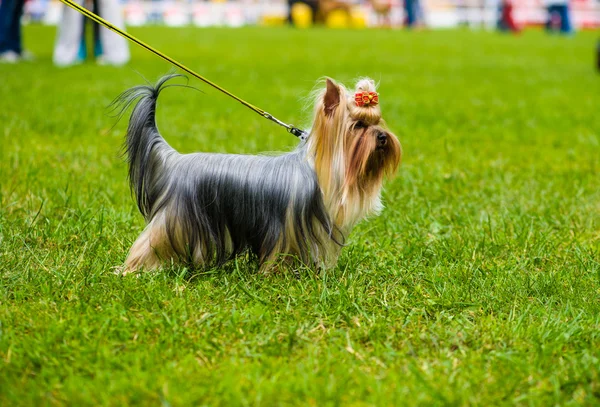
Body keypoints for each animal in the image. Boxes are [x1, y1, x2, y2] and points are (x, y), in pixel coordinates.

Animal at [115, 75, 400, 276]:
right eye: (359, 125)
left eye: (378, 122)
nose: (383, 137)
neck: (316, 170)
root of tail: (176, 161)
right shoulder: (287, 229)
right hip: (174, 219)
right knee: (149, 242)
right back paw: (131, 270)